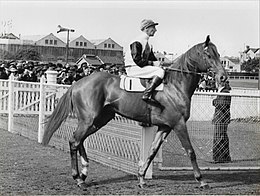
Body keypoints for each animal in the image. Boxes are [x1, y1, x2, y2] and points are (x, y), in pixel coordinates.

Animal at [41, 35, 226, 190]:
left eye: (218, 54)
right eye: (208, 55)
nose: (223, 77)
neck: (174, 86)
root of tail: (78, 83)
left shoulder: (164, 127)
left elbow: (151, 152)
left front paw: (142, 178)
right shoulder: (178, 124)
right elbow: (190, 151)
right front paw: (201, 180)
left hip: (99, 120)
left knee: (79, 140)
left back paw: (84, 171)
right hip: (88, 120)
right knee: (74, 141)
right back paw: (78, 178)